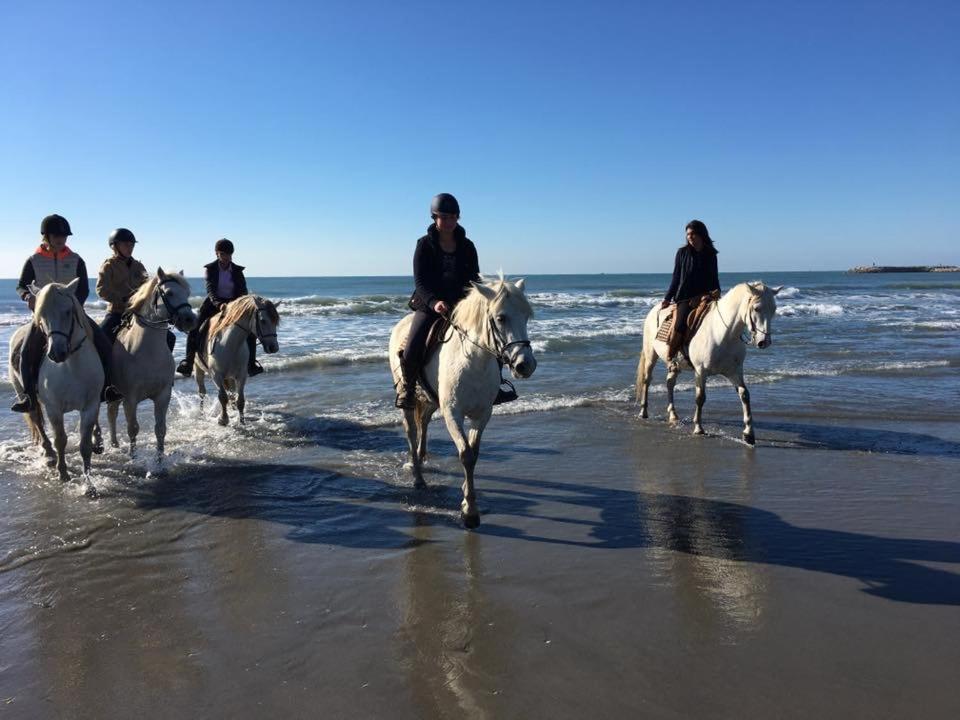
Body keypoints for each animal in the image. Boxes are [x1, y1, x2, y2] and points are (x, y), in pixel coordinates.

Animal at [6, 278, 103, 480]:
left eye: (68, 311)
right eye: (42, 315)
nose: (57, 353)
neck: (71, 366)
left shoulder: (90, 405)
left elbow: (84, 444)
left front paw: (88, 477)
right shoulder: (54, 409)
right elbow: (60, 440)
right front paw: (63, 472)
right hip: (23, 393)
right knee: (36, 419)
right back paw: (49, 454)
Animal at [108, 268, 198, 458]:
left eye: (187, 294)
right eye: (169, 293)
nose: (190, 320)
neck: (148, 352)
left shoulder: (163, 395)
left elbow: (160, 429)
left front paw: (160, 459)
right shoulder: (130, 398)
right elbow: (133, 428)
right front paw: (133, 457)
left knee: (111, 412)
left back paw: (114, 444)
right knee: (111, 413)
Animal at [195, 294, 282, 424]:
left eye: (275, 322)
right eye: (263, 320)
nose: (273, 348)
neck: (229, 344)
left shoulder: (241, 375)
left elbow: (240, 399)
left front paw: (242, 421)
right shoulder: (216, 375)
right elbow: (222, 397)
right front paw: (223, 419)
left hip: (230, 377)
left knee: (231, 392)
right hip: (198, 369)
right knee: (202, 392)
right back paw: (201, 413)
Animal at [390, 272, 540, 524]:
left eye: (526, 316)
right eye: (500, 318)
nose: (525, 365)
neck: (473, 361)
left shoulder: (482, 414)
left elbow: (474, 452)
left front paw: (466, 496)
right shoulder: (453, 414)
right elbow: (466, 455)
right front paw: (470, 511)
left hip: (431, 399)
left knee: (424, 422)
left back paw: (421, 458)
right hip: (409, 396)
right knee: (411, 430)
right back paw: (418, 477)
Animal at [636, 282, 780, 444]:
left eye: (773, 309)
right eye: (756, 308)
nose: (764, 342)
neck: (724, 334)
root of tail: (654, 309)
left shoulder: (734, 372)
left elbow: (744, 395)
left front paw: (749, 433)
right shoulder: (701, 371)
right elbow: (700, 398)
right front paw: (698, 428)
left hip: (674, 364)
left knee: (670, 383)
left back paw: (673, 415)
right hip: (650, 355)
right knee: (647, 380)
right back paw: (643, 411)